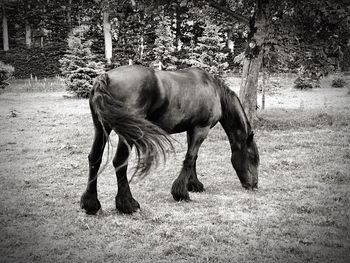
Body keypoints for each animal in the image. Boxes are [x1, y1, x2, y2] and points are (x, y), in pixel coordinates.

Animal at [80, 65, 258, 216]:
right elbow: (190, 158)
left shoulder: (191, 130)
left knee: (94, 158)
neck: (215, 92)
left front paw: (194, 185)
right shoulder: (201, 129)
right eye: (253, 159)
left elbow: (193, 158)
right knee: (119, 162)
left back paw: (91, 205)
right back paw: (128, 204)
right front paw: (181, 193)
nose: (254, 185)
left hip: (101, 128)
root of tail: (106, 77)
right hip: (128, 134)